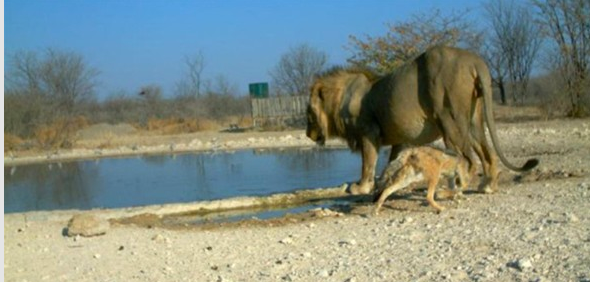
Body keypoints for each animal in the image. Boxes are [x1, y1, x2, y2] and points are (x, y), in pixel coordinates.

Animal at [310, 46, 540, 196]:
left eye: (309, 113)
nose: (307, 134)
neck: (340, 99)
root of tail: (473, 60)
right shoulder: (399, 138)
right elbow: (391, 163)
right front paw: (383, 183)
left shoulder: (368, 133)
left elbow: (368, 163)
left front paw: (360, 187)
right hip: (473, 119)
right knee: (488, 154)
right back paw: (487, 186)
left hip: (450, 121)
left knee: (467, 158)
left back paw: (454, 188)